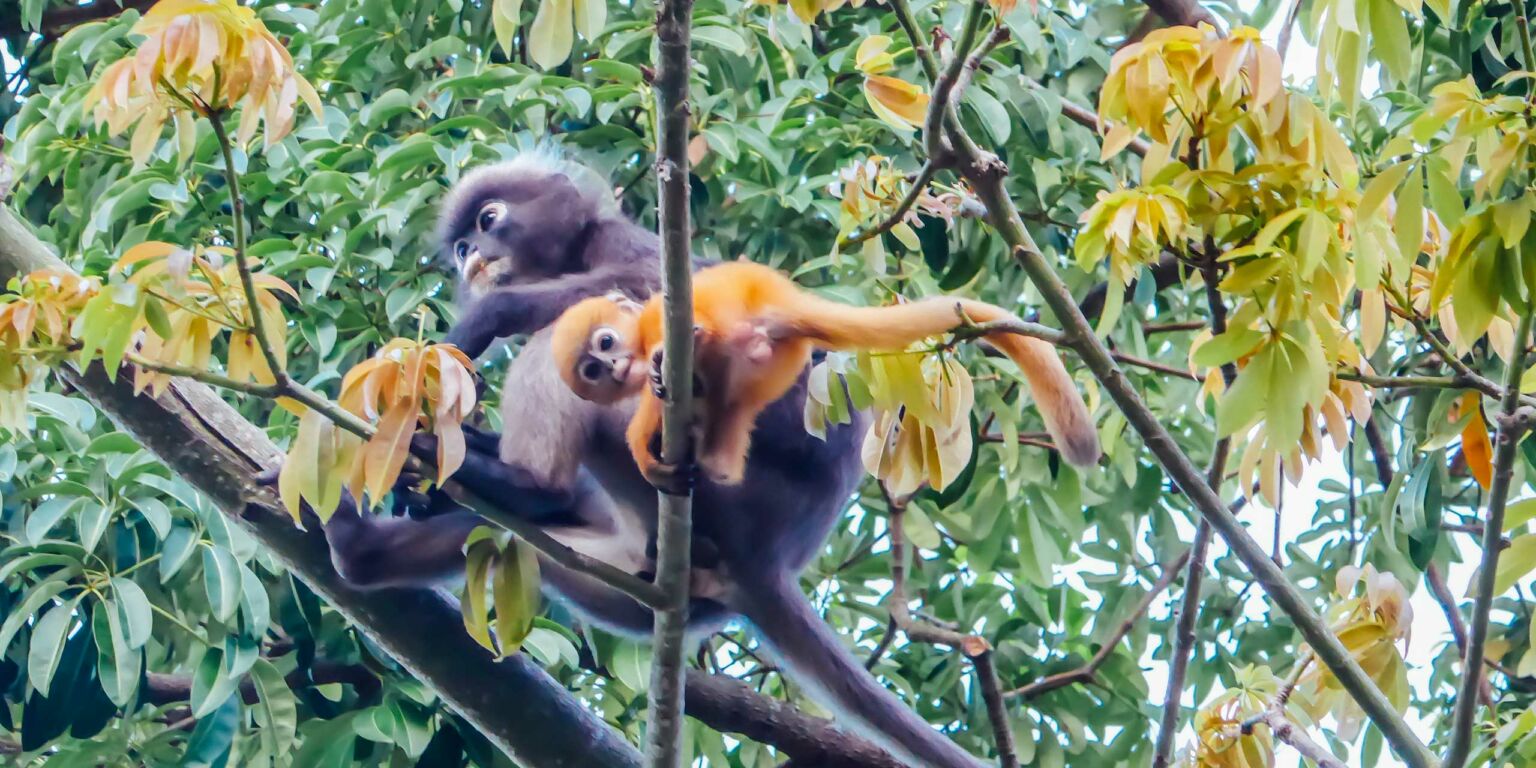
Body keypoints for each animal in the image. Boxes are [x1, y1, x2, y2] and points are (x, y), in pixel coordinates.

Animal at [312, 153, 992, 768]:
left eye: (488, 219)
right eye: (458, 248)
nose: (473, 256)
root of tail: (770, 561)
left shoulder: (628, 251)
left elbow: (642, 298)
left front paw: (474, 330)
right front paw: (428, 462)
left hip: (716, 485)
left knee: (574, 345)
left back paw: (527, 484)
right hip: (624, 567)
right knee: (505, 536)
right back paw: (367, 538)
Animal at [550, 260, 1101, 488]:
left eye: (605, 343)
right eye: (592, 370)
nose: (614, 366)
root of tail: (784, 304)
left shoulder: (648, 322)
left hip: (738, 314)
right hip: (771, 369)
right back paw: (715, 462)